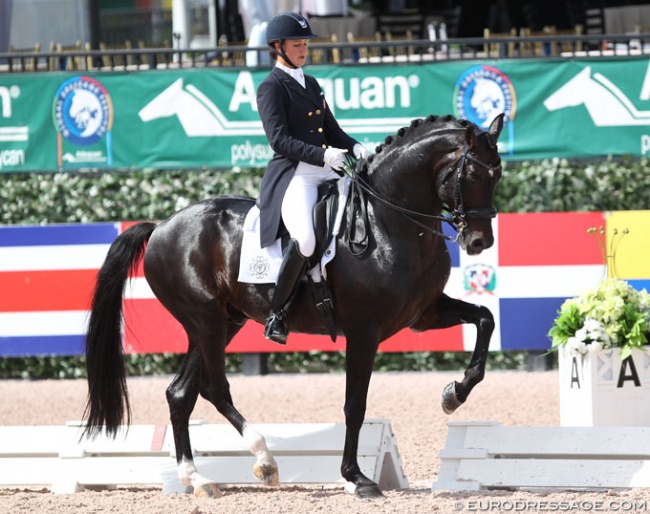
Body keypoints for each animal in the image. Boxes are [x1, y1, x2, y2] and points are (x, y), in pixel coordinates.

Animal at [83, 112, 504, 496]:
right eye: (473, 175)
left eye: (497, 175)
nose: (479, 243)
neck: (387, 220)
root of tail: (161, 227)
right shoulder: (364, 331)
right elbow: (355, 404)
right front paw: (356, 478)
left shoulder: (424, 313)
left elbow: (485, 319)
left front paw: (454, 393)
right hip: (206, 321)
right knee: (214, 388)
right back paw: (264, 461)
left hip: (221, 323)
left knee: (180, 393)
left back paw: (198, 480)